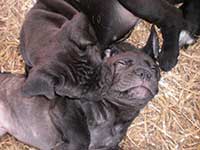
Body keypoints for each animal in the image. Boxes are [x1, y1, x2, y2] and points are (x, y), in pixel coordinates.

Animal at [0, 27, 159, 149]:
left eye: (154, 69)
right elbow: (81, 136)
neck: (116, 112)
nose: (145, 73)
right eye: (122, 63)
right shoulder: (65, 110)